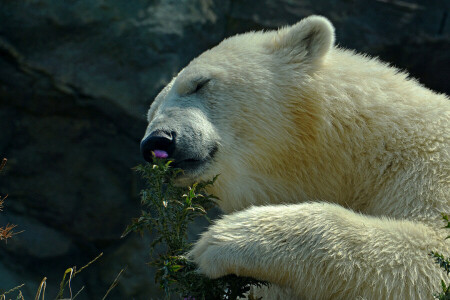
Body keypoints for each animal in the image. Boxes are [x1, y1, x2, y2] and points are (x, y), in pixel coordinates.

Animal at [141, 16, 450, 300]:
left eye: (200, 83)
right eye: (151, 112)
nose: (158, 141)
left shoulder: (428, 163)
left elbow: (431, 256)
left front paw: (222, 239)